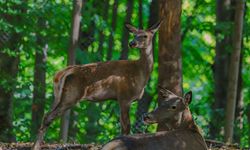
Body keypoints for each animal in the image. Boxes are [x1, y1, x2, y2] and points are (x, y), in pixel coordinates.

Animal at [32, 20, 161, 149]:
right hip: (71, 95)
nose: (132, 43)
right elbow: (126, 127)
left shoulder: (122, 99)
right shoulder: (125, 97)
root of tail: (61, 73)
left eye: (145, 35)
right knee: (48, 117)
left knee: (45, 115)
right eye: (134, 34)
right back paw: (36, 146)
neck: (139, 73)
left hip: (57, 96)